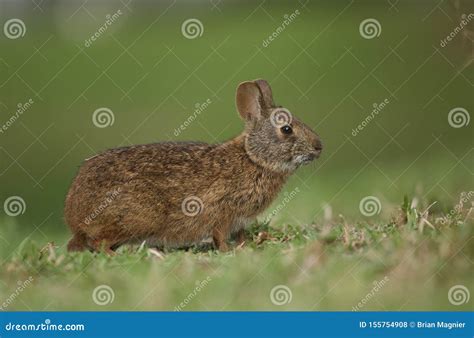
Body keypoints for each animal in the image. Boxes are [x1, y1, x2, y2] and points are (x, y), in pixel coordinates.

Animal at [65, 80, 322, 254]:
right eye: (286, 129)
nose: (319, 146)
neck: (253, 158)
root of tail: (74, 215)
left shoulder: (239, 219)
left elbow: (238, 234)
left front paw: (247, 244)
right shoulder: (222, 209)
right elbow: (220, 234)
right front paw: (228, 251)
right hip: (138, 216)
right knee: (99, 242)